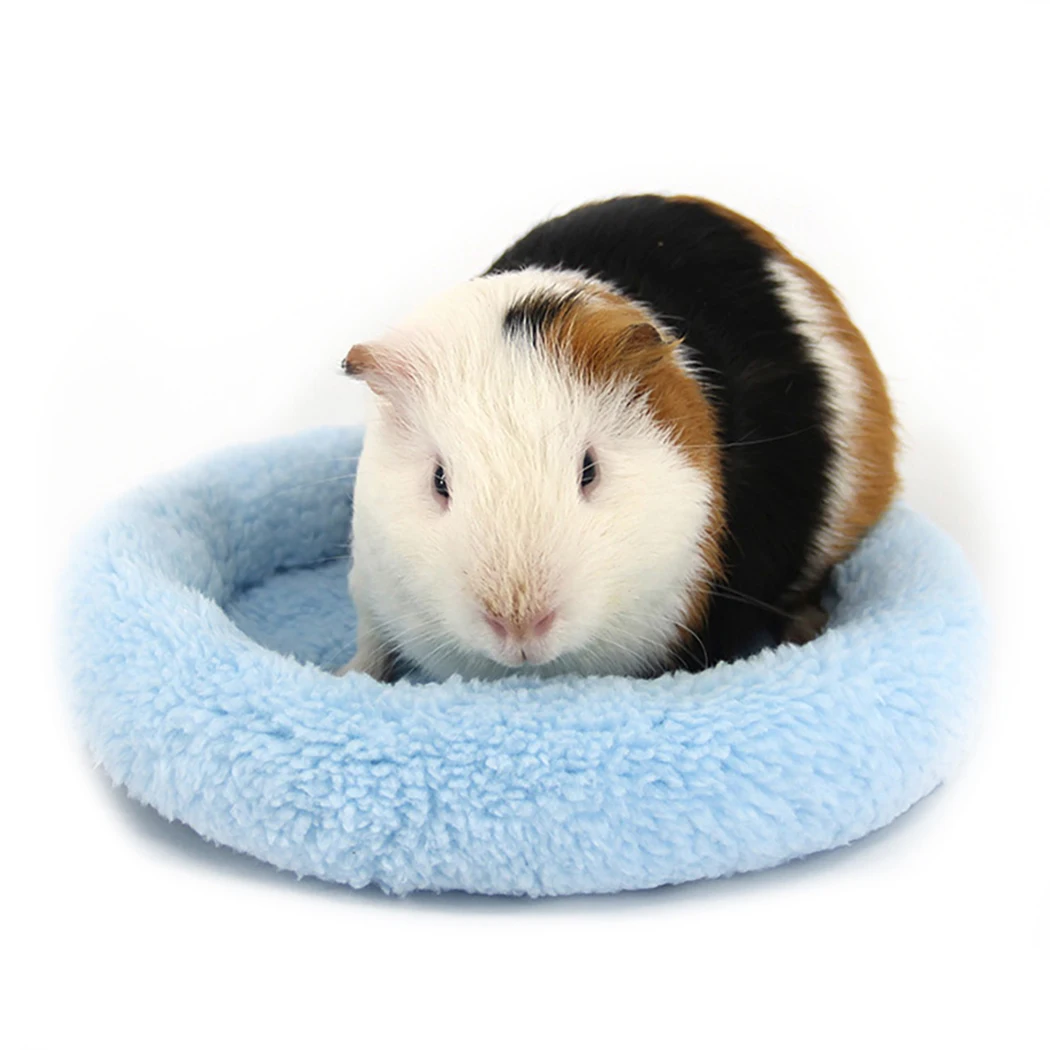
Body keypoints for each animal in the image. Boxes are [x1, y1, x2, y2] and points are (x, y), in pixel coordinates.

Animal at [338, 194, 897, 682]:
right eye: (439, 481)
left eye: (590, 470)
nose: (519, 623)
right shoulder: (369, 586)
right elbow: (372, 644)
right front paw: (348, 675)